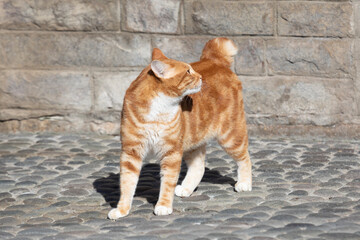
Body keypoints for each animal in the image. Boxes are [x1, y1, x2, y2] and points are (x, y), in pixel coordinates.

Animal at [108, 37, 252, 219]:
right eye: (188, 72)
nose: (200, 76)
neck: (160, 109)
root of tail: (214, 60)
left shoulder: (171, 152)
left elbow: (167, 183)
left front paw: (163, 206)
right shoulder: (131, 152)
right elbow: (127, 184)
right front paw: (122, 209)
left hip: (230, 136)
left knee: (245, 158)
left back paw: (244, 183)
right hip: (193, 141)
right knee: (199, 167)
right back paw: (186, 188)